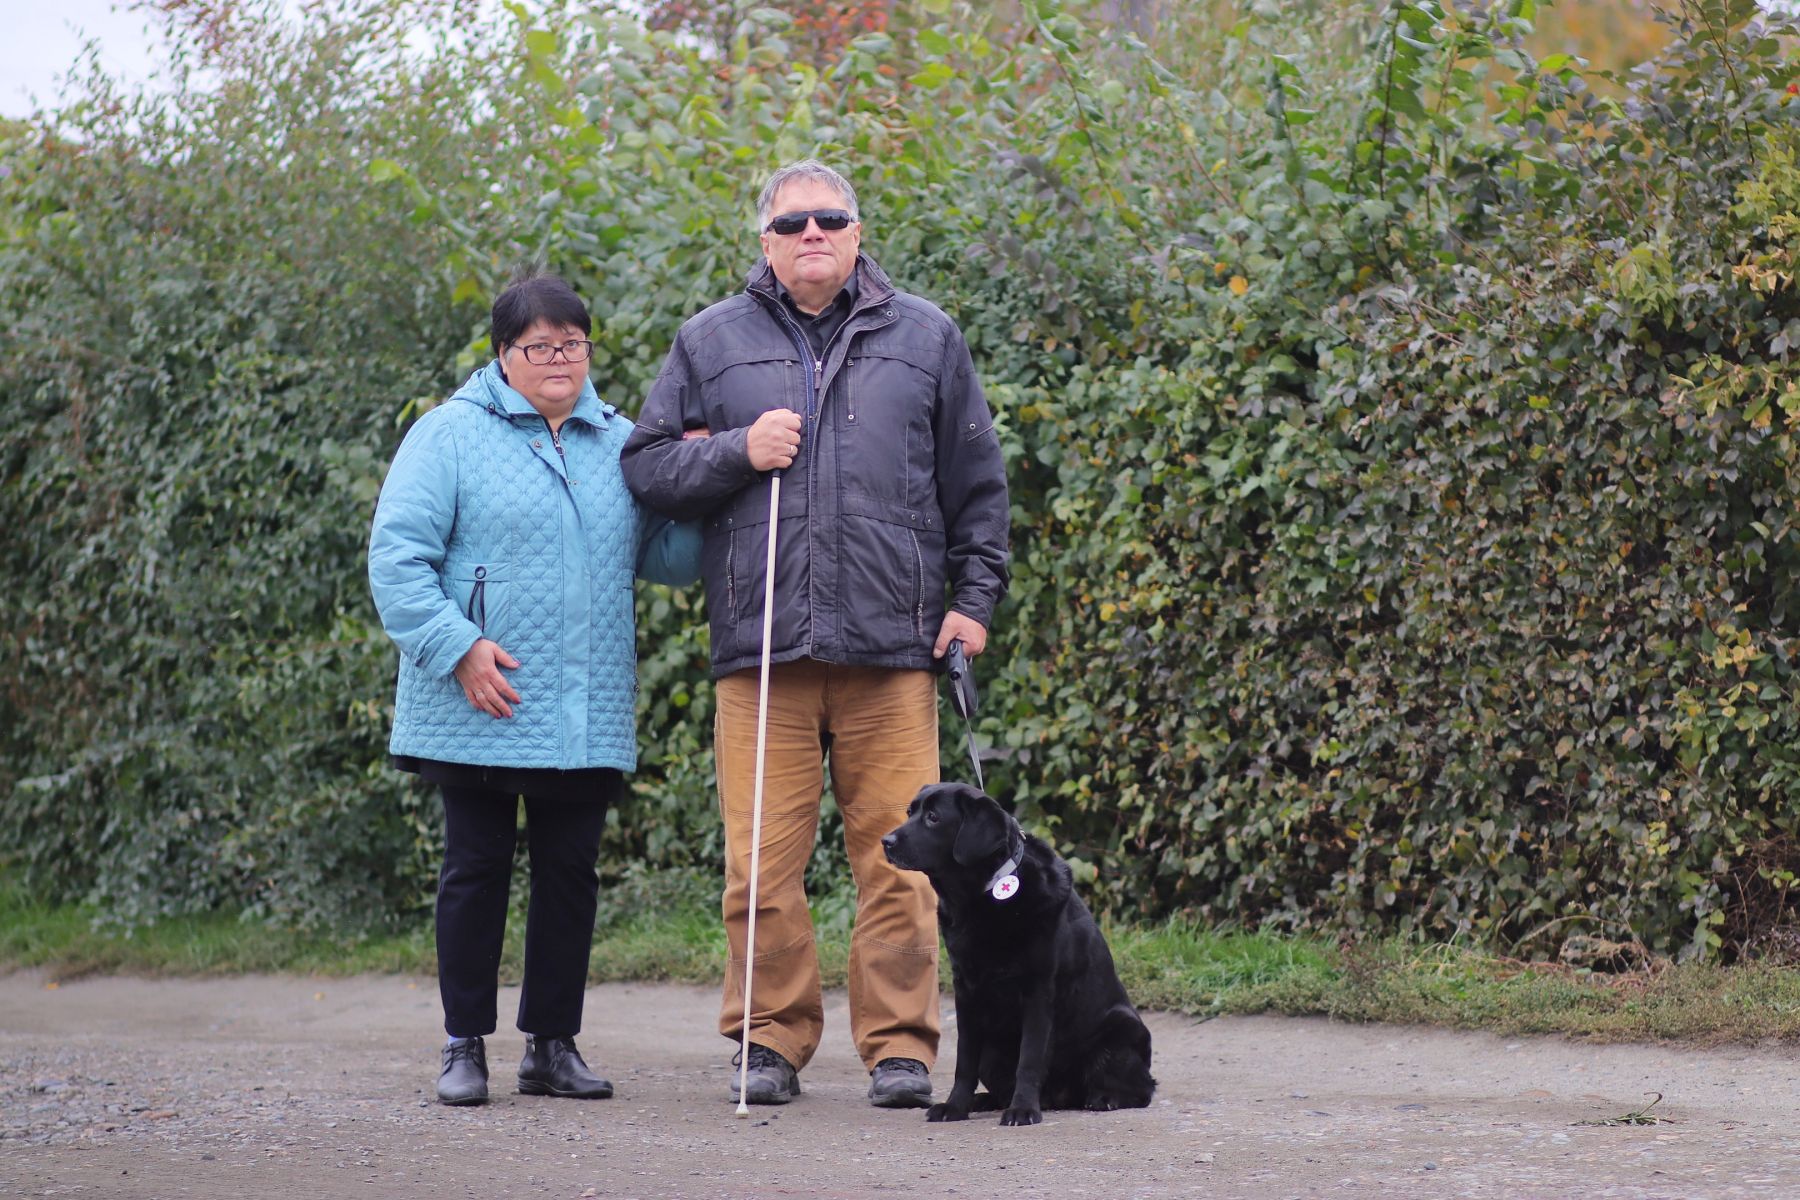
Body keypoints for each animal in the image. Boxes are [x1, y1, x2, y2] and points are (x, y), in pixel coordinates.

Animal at [882, 780, 1159, 1129]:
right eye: (910, 812)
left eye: (933, 817)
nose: (885, 842)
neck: (982, 898)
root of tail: (1061, 1096)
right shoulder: (966, 993)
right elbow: (964, 1062)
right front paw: (956, 1106)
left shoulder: (1038, 992)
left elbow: (1029, 1058)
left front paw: (1023, 1109)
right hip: (992, 1050)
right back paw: (984, 1100)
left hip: (1121, 1029)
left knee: (1142, 1089)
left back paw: (1104, 1098)